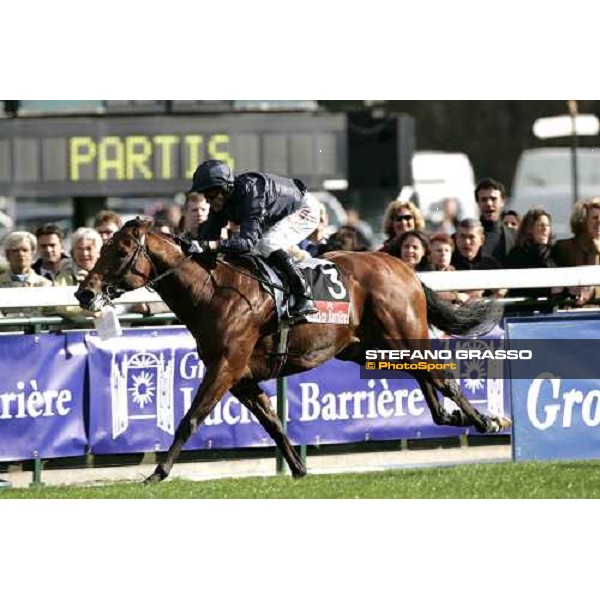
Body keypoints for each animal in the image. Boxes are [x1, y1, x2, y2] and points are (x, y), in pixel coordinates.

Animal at [72, 220, 508, 482]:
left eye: (120, 250)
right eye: (103, 246)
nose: (84, 292)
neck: (212, 291)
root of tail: (404, 268)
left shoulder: (225, 368)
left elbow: (190, 419)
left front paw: (157, 473)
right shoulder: (241, 377)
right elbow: (273, 423)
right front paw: (299, 469)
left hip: (404, 335)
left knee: (442, 375)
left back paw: (486, 421)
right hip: (368, 348)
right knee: (427, 380)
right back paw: (455, 417)